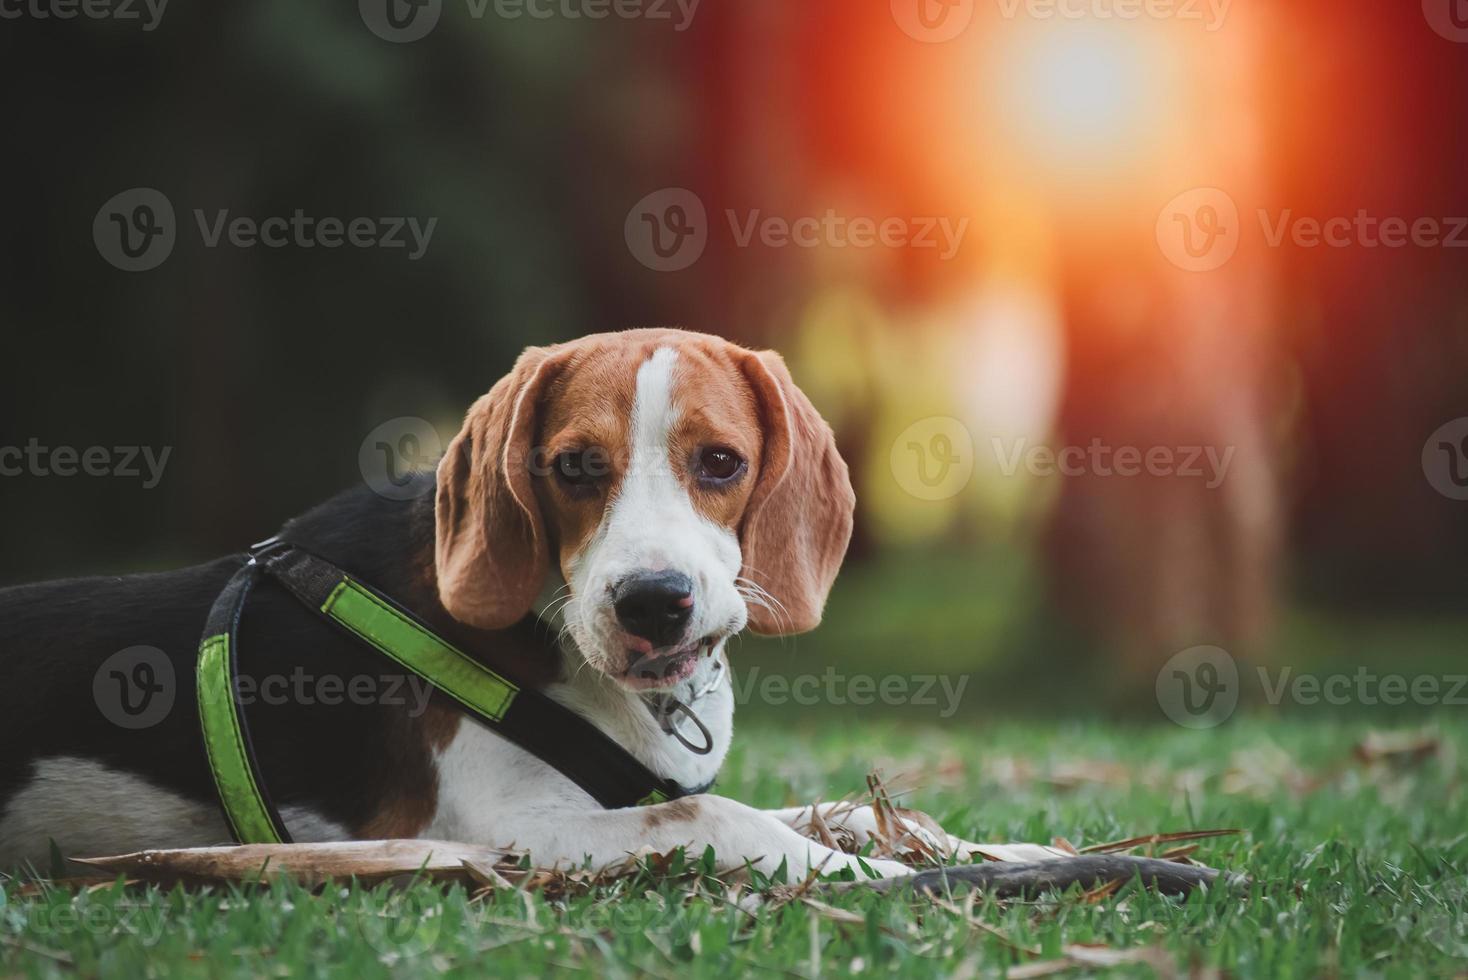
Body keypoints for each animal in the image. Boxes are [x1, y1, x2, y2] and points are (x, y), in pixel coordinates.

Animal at [2, 331, 986, 880]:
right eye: (576, 466)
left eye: (721, 463)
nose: (654, 603)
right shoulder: (500, 830)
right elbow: (717, 815)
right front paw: (871, 879)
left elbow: (865, 815)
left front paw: (994, 859)